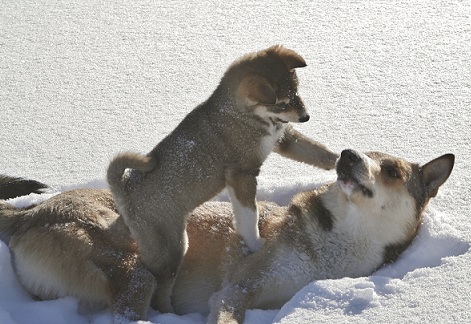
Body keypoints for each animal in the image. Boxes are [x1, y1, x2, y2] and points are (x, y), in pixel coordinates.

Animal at [0, 149, 458, 324]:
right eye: (363, 151)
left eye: (392, 170)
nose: (345, 155)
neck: (336, 241)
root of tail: (30, 212)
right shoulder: (236, 290)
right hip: (132, 267)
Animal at [106, 44, 340, 310]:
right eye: (281, 103)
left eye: (297, 92)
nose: (306, 117)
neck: (242, 114)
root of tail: (124, 189)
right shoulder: (242, 173)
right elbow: (248, 216)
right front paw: (256, 245)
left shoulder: (284, 138)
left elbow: (318, 152)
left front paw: (349, 156)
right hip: (171, 248)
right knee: (161, 290)